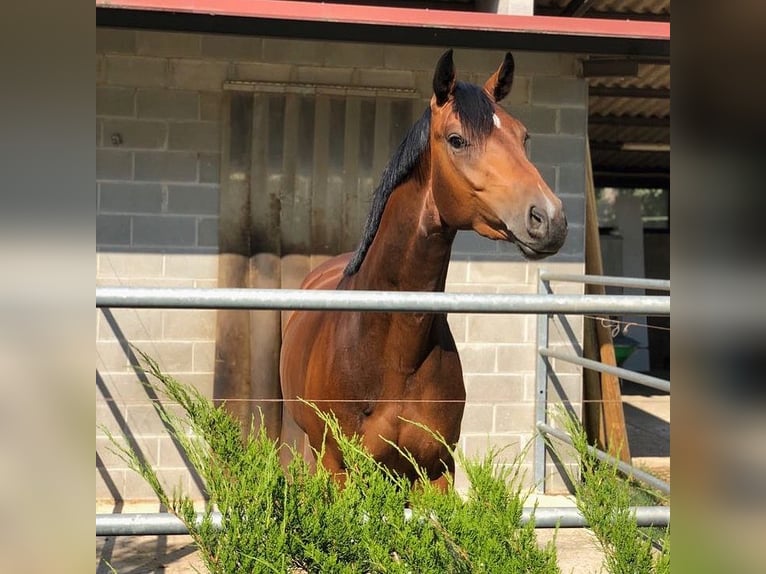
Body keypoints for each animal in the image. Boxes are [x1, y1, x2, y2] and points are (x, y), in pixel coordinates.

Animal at [280, 50, 568, 490]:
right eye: (456, 140)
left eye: (524, 137)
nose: (548, 218)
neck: (392, 351)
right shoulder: (339, 468)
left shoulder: (436, 470)